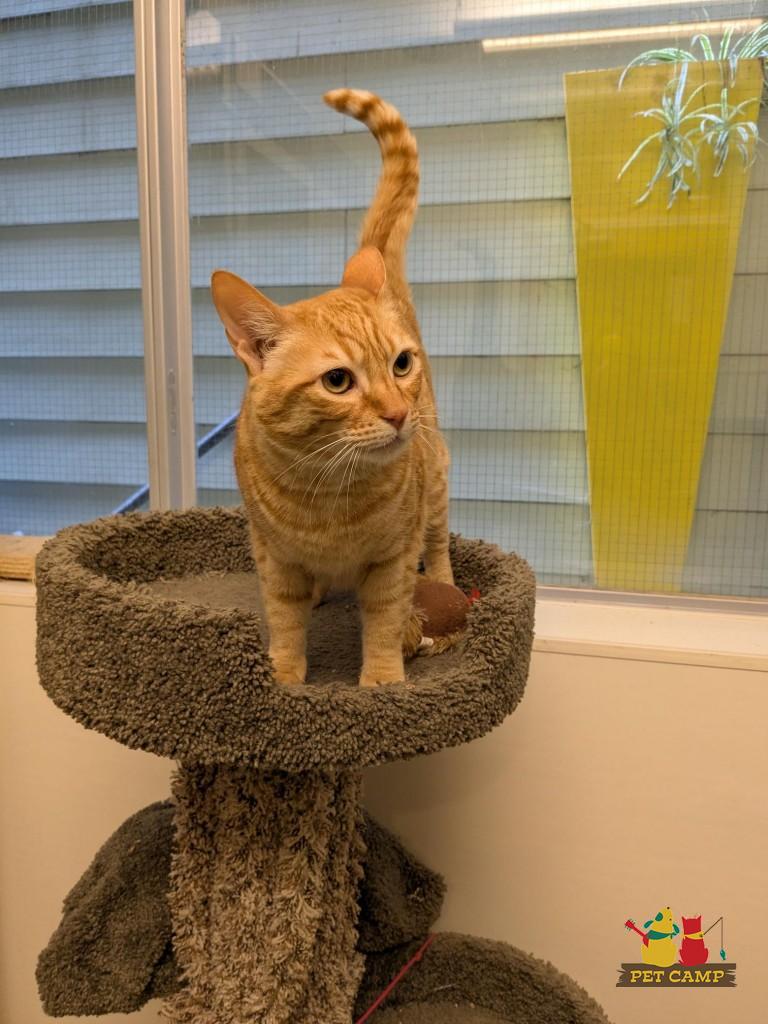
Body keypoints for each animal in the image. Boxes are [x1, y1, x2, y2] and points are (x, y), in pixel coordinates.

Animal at [210, 89, 452, 687]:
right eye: (338, 381)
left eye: (400, 364)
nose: (397, 414)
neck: (326, 492)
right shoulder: (274, 558)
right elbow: (284, 619)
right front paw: (282, 676)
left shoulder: (394, 558)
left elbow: (386, 619)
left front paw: (383, 680)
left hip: (436, 476)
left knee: (439, 541)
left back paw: (445, 579)